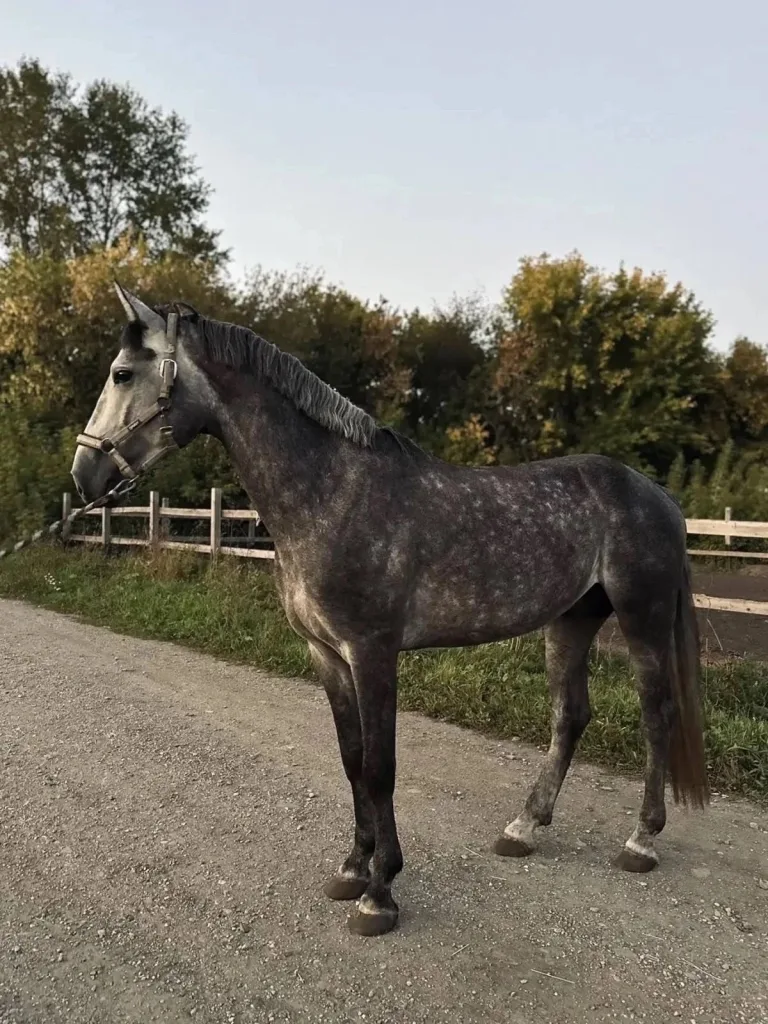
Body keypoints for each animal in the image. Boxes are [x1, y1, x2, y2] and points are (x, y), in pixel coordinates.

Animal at [71, 284, 709, 937]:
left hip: (641, 618)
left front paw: (380, 894)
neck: (332, 493)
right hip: (571, 620)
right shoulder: (325, 654)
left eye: (123, 374)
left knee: (656, 715)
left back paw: (641, 841)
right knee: (570, 716)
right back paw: (524, 827)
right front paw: (353, 868)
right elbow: (353, 761)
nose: (83, 474)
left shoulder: (372, 651)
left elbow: (381, 767)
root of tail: (657, 494)